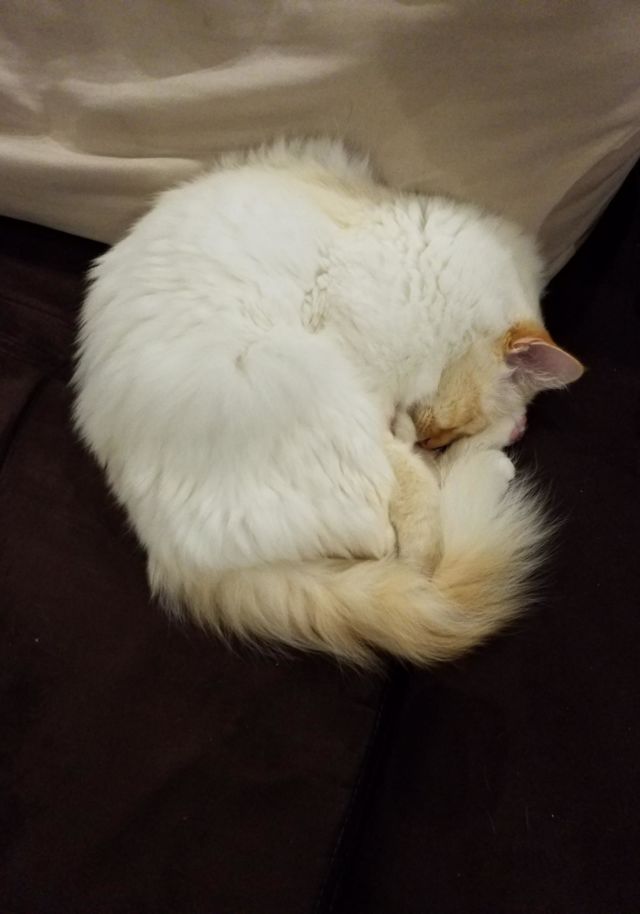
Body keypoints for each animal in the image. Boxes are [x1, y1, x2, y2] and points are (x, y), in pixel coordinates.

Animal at [73, 137, 583, 666]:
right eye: (439, 432)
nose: (427, 441)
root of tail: (167, 556)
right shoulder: (360, 369)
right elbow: (420, 511)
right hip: (312, 383)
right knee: (409, 554)